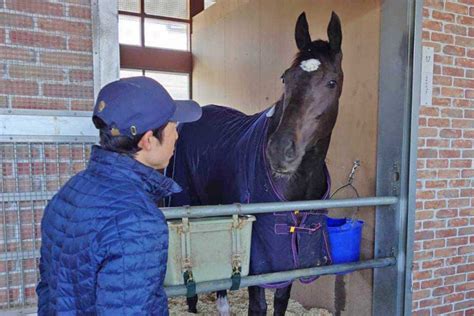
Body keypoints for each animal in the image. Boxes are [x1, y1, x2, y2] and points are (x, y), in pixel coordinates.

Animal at [168, 11, 342, 314]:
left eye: (331, 82)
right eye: (285, 78)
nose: (280, 150)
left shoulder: (289, 255)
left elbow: (281, 300)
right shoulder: (260, 256)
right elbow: (258, 306)